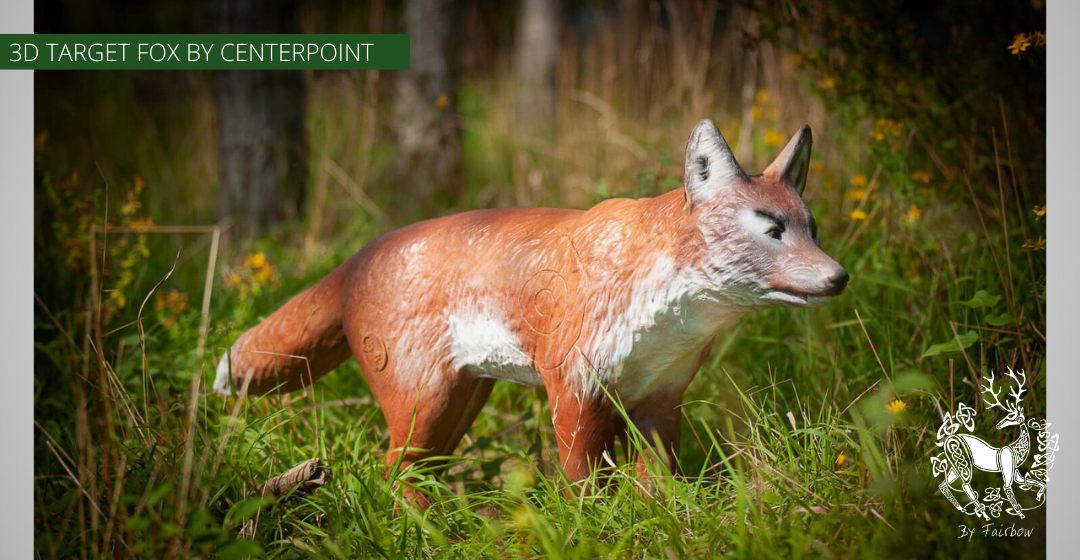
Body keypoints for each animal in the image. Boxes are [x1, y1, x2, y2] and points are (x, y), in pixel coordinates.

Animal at [214, 119, 848, 501]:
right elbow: (582, 486)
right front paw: (592, 529)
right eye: (771, 229)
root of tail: (360, 256)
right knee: (390, 477)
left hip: (458, 408)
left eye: (811, 229)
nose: (838, 277)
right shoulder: (572, 391)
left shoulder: (658, 401)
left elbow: (657, 489)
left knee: (412, 474)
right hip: (424, 405)